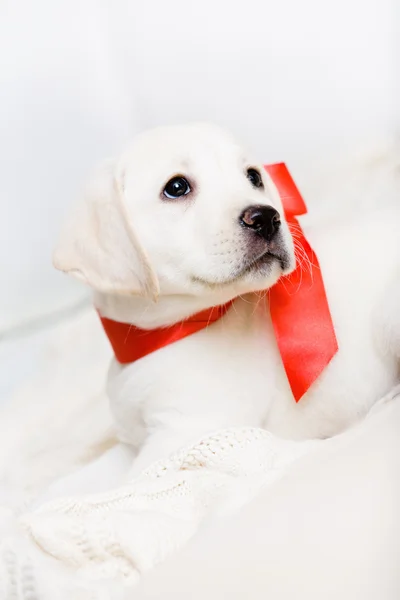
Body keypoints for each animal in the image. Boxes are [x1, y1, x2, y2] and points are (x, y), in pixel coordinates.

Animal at [54, 124, 400, 476]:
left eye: (254, 176)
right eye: (176, 187)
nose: (267, 217)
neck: (160, 337)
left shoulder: (183, 437)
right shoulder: (129, 444)